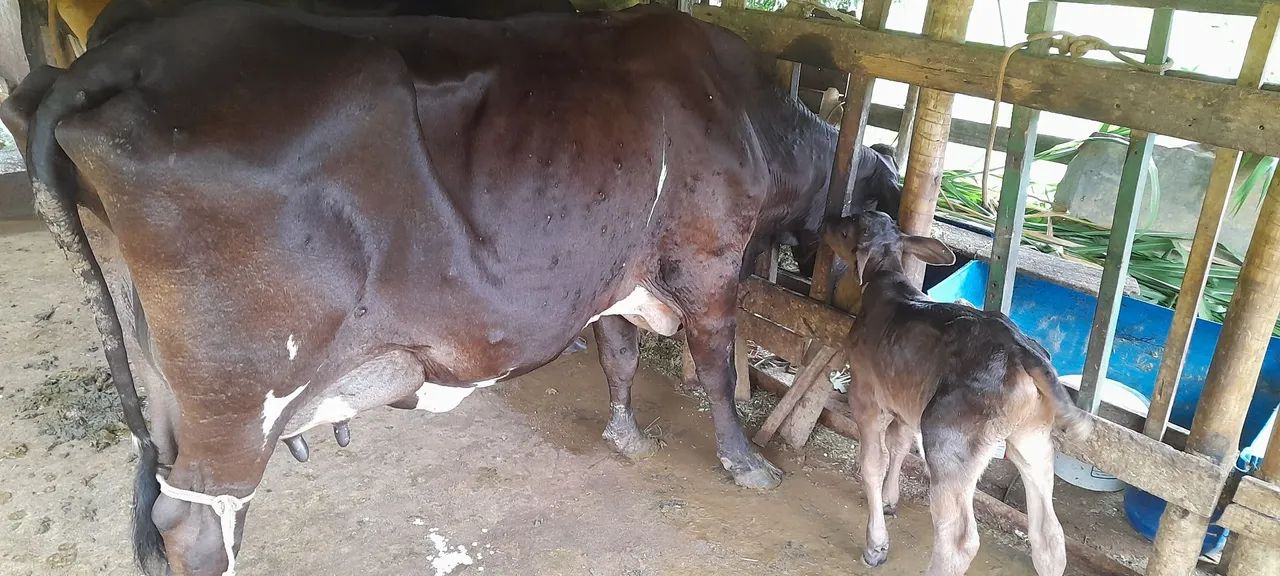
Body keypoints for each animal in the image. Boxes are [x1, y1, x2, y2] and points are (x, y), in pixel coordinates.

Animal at [3, 3, 865, 574]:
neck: (748, 114)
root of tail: (124, 55)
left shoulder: (617, 270)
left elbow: (619, 355)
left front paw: (625, 433)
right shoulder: (707, 254)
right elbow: (716, 366)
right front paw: (744, 462)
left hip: (162, 377)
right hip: (240, 394)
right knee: (194, 527)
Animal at [821, 211, 1093, 576]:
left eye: (846, 229)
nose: (826, 221)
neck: (888, 281)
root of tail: (1022, 350)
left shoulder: (866, 394)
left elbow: (873, 462)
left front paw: (876, 543)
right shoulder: (906, 400)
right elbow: (899, 444)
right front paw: (891, 499)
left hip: (949, 439)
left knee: (959, 540)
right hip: (1032, 436)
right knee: (1049, 532)